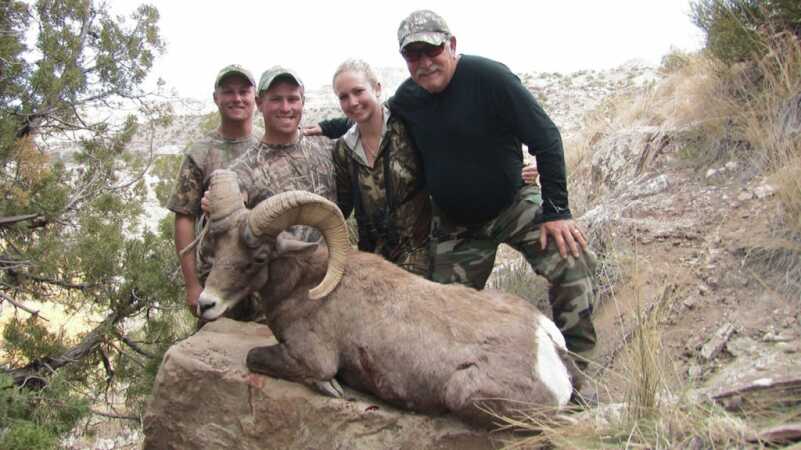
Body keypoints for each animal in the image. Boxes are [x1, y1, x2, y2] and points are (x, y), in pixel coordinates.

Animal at [196, 169, 579, 428]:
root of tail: (545, 340)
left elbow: (256, 357)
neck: (306, 285)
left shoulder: (312, 358)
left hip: (468, 395)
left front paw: (331, 387)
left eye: (259, 258)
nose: (205, 303)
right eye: (218, 247)